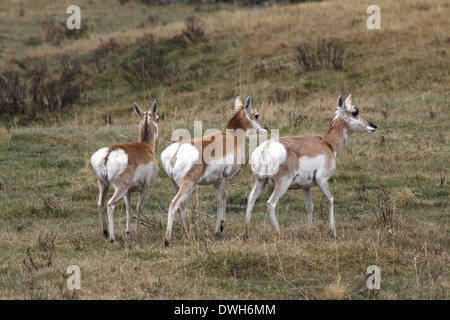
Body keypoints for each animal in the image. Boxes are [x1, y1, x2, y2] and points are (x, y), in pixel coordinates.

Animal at [90, 100, 159, 242]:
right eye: (158, 118)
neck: (146, 147)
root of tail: (108, 154)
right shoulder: (145, 187)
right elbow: (138, 207)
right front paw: (137, 231)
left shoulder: (128, 192)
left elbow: (129, 209)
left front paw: (128, 233)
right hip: (119, 189)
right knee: (110, 204)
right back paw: (112, 238)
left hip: (104, 185)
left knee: (100, 204)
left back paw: (105, 232)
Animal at [162, 96, 268, 246]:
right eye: (256, 115)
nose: (266, 128)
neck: (232, 139)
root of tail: (176, 151)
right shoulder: (225, 178)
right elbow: (220, 200)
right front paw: (218, 230)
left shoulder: (216, 181)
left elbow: (225, 195)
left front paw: (222, 225)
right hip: (188, 185)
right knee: (174, 204)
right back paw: (167, 240)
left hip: (176, 185)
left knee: (180, 206)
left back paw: (186, 234)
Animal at [244, 95, 378, 240]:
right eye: (355, 112)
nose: (374, 126)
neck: (328, 143)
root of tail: (265, 149)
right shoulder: (322, 180)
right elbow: (331, 199)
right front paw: (333, 232)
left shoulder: (305, 187)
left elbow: (309, 206)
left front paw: (310, 231)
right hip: (282, 184)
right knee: (271, 203)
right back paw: (279, 233)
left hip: (260, 181)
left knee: (251, 200)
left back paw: (246, 234)